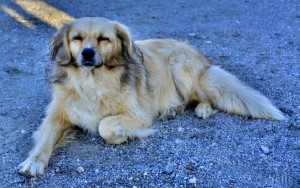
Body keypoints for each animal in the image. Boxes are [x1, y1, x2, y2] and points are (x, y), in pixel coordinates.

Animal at [18, 16, 284, 176]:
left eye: (104, 39)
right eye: (77, 38)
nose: (87, 53)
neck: (93, 82)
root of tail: (195, 51)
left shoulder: (138, 115)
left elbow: (105, 126)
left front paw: (122, 137)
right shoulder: (56, 116)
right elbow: (45, 138)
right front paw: (35, 161)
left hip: (180, 67)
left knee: (202, 96)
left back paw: (202, 109)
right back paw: (172, 110)